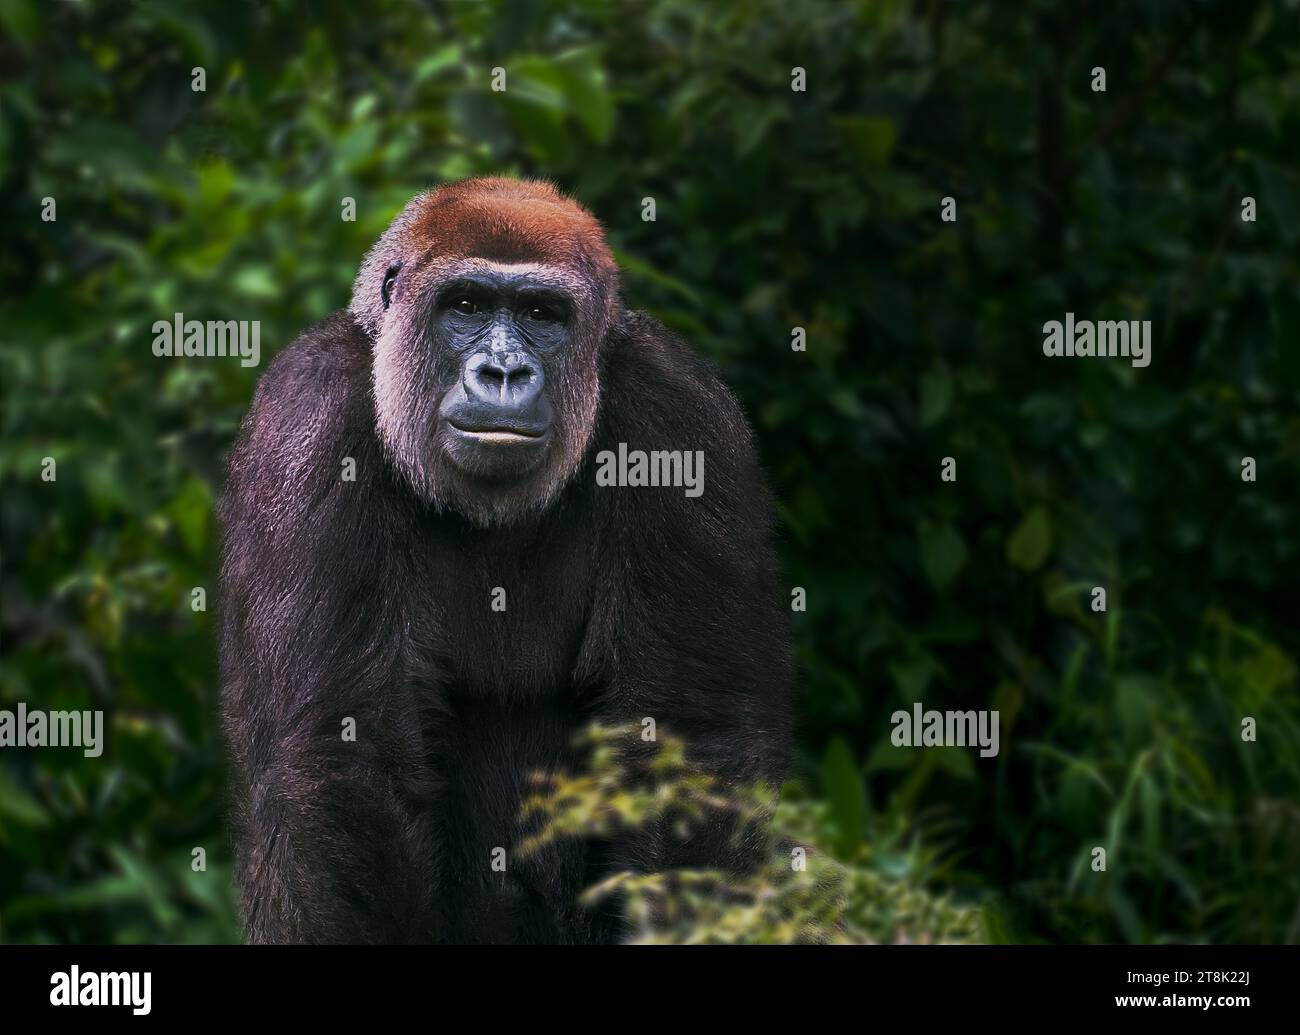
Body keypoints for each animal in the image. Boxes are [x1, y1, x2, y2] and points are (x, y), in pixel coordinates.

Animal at [219, 178, 790, 946]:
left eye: (542, 315)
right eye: (465, 305)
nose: (505, 371)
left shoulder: (680, 413)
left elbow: (693, 743)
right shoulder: (312, 409)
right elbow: (345, 756)